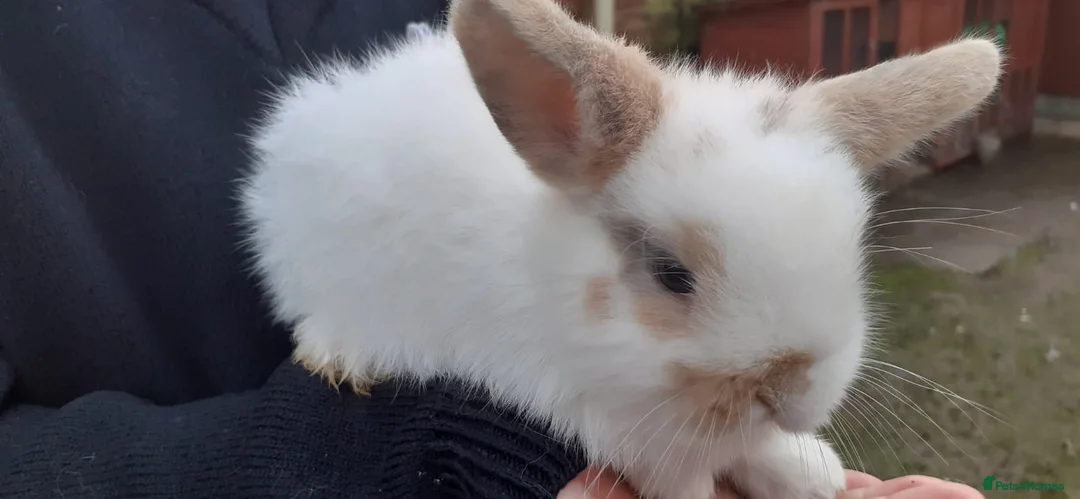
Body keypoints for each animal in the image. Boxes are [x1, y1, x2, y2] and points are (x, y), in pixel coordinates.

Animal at [237, 0, 1003, 497]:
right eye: (670, 274)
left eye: (851, 251)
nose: (791, 392)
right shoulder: (600, 413)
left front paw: (806, 471)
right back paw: (341, 354)